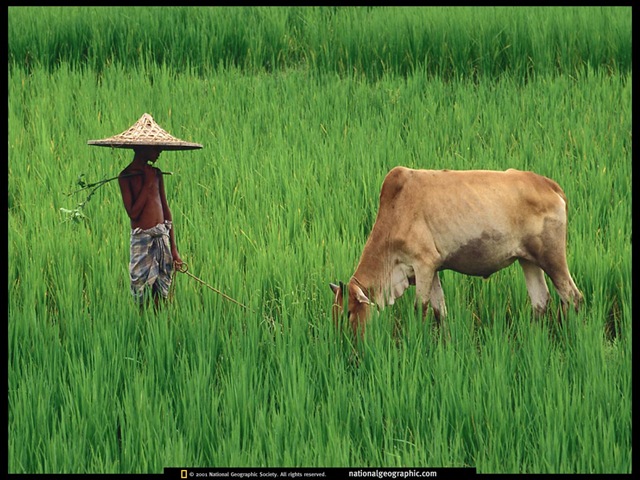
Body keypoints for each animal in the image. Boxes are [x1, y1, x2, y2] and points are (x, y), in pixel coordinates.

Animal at [332, 166, 584, 338]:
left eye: (348, 313)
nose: (345, 343)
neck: (395, 211)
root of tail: (549, 185)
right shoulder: (431, 269)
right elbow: (439, 311)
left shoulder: (423, 265)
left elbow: (420, 309)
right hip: (528, 260)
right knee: (540, 301)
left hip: (552, 258)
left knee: (573, 296)